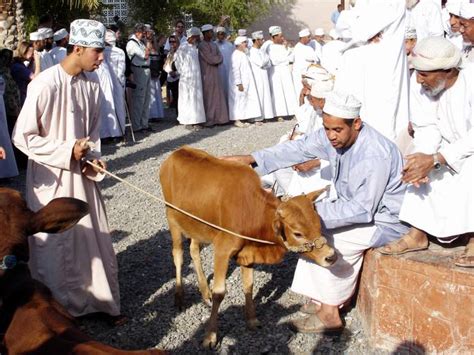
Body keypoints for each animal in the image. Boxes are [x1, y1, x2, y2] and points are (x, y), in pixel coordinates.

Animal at [159, 146, 336, 350]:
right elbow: (220, 293)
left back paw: (204, 292)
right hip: (173, 219)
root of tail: (177, 152)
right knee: (178, 255)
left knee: (194, 250)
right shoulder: (222, 250)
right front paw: (211, 336)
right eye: (298, 233)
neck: (251, 211)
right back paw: (179, 297)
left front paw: (251, 320)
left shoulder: (248, 253)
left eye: (318, 223)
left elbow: (249, 285)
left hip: (198, 227)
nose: (331, 256)